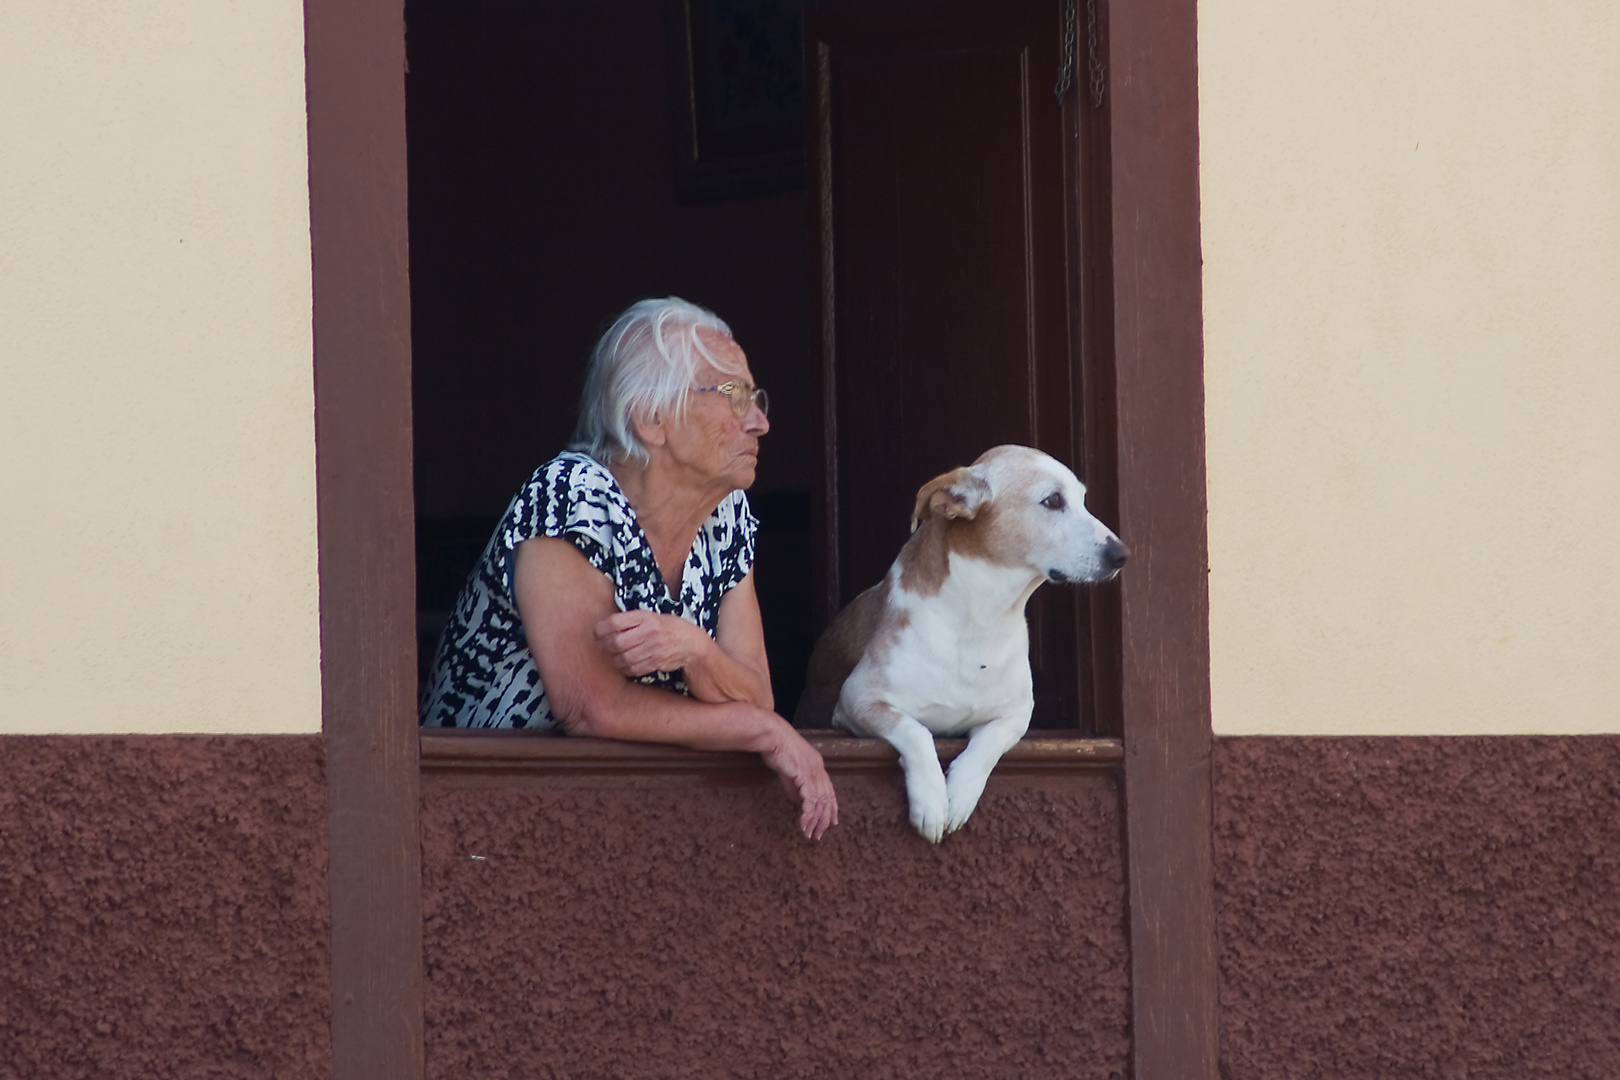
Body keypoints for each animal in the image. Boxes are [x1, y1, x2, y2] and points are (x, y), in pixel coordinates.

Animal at [793, 446, 1127, 841]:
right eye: (1053, 500)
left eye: (1082, 499)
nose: (1122, 554)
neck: (982, 621)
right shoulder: (858, 700)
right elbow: (916, 731)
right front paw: (932, 800)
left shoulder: (1016, 715)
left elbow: (987, 745)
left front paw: (961, 791)